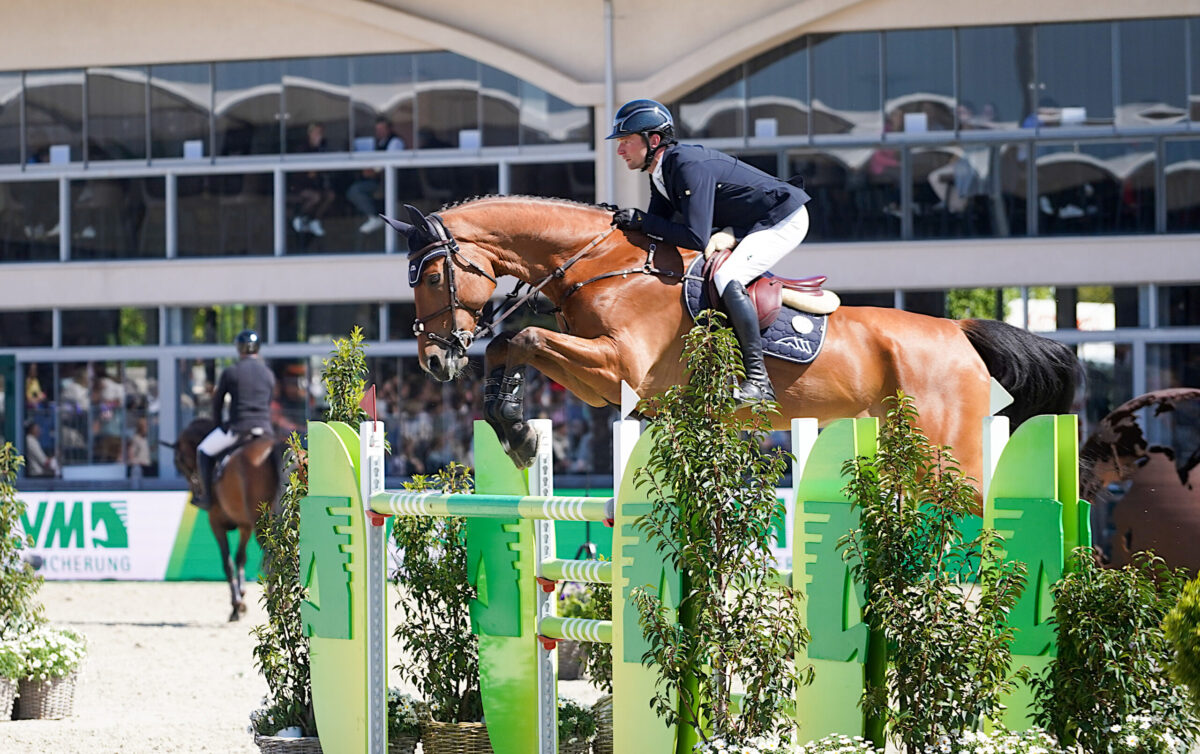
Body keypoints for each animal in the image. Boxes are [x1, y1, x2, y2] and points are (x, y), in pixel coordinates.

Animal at [167, 418, 283, 621]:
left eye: (179, 461)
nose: (195, 490)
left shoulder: (216, 523)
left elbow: (227, 563)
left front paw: (236, 606)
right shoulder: (245, 526)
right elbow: (240, 559)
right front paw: (242, 599)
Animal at [383, 196, 1080, 507]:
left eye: (431, 276)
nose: (433, 360)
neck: (603, 266)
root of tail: (959, 332)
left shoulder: (619, 370)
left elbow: (521, 336)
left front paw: (521, 433)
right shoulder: (598, 378)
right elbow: (509, 342)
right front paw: (514, 426)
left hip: (947, 458)